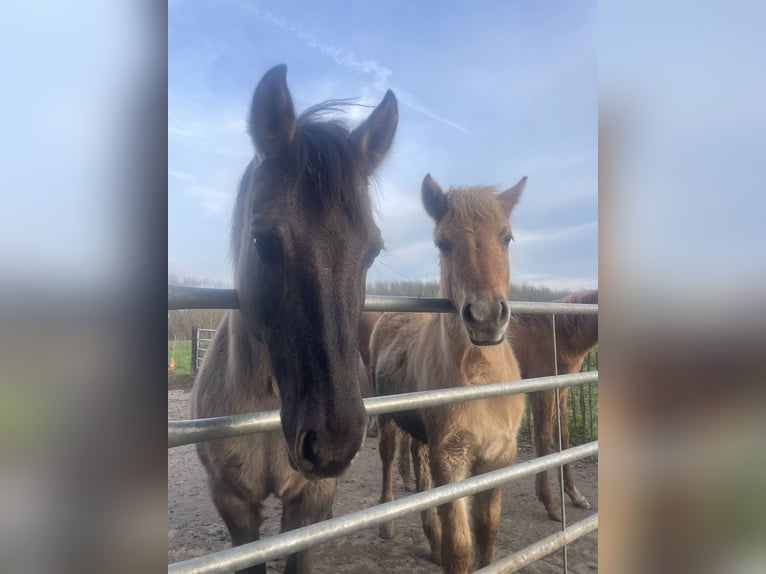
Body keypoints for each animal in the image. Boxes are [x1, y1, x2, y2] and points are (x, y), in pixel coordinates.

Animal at [370, 174, 527, 574]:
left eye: (506, 237)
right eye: (443, 242)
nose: (486, 318)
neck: (479, 380)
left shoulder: (498, 458)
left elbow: (487, 532)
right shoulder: (451, 463)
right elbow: (459, 545)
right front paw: (445, 547)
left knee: (418, 465)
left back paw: (430, 537)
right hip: (387, 420)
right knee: (388, 460)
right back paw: (388, 523)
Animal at [392, 290, 599, 521]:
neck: (560, 332)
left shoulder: (560, 389)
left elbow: (563, 438)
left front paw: (575, 495)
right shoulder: (542, 392)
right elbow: (543, 441)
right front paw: (551, 504)